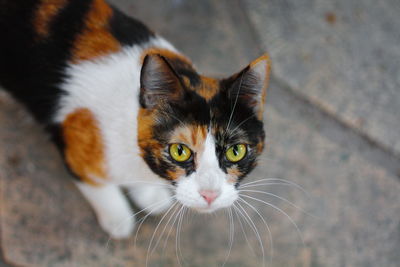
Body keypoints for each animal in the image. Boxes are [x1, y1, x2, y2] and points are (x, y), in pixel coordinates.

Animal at [0, 0, 272, 240]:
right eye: (179, 151)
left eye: (236, 151)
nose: (210, 194)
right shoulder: (76, 145)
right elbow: (98, 186)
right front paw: (118, 219)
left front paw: (149, 195)